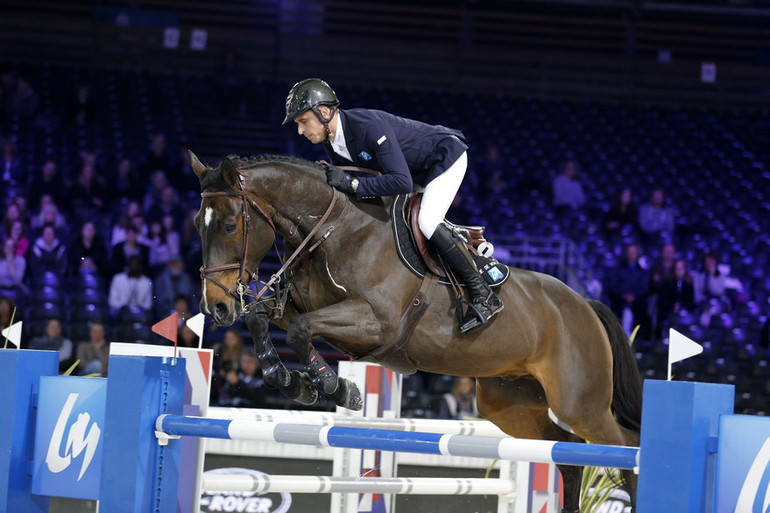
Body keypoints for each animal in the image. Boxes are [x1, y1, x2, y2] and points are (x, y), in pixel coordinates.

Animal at [190, 150, 640, 510]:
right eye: (197, 224)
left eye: (229, 225)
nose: (215, 306)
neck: (332, 229)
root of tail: (585, 305)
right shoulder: (301, 307)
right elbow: (262, 319)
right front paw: (289, 380)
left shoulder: (375, 321)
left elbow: (301, 331)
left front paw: (338, 388)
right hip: (509, 404)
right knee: (570, 453)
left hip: (580, 404)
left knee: (624, 449)